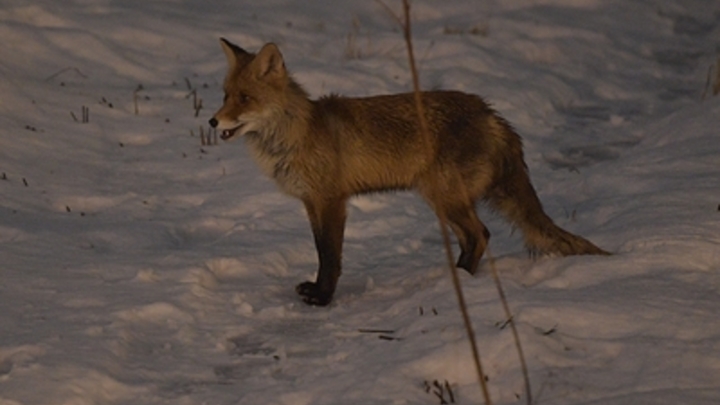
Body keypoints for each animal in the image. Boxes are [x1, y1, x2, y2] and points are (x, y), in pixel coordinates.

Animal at [208, 39, 608, 304]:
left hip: (445, 198)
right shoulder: (311, 203)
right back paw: (455, 278)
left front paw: (323, 297)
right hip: (445, 201)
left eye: (245, 99)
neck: (296, 135)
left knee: (481, 235)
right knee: (473, 237)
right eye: (225, 95)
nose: (212, 122)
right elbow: (322, 249)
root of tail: (491, 112)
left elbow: (330, 255)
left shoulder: (331, 200)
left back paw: (459, 282)